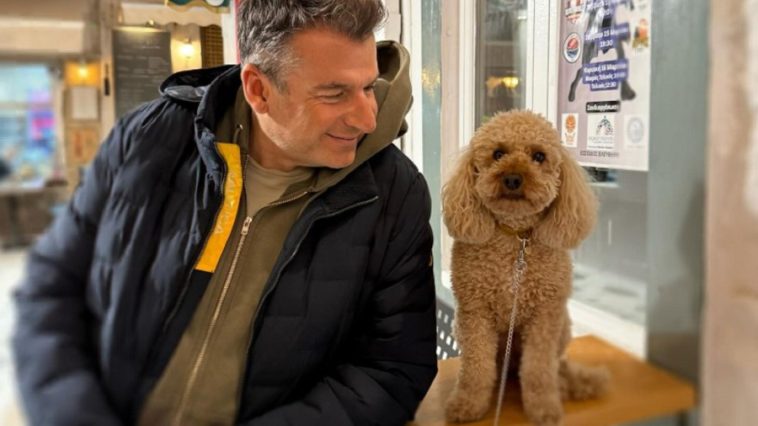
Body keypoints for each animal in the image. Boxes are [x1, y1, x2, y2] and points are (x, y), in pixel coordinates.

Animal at [442, 110, 608, 425]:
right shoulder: (475, 313)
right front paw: (468, 404)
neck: (515, 238)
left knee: (553, 366)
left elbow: (538, 370)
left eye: (539, 156)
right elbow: (477, 368)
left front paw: (543, 407)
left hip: (562, 328)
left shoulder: (544, 316)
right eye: (497, 153)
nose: (512, 178)